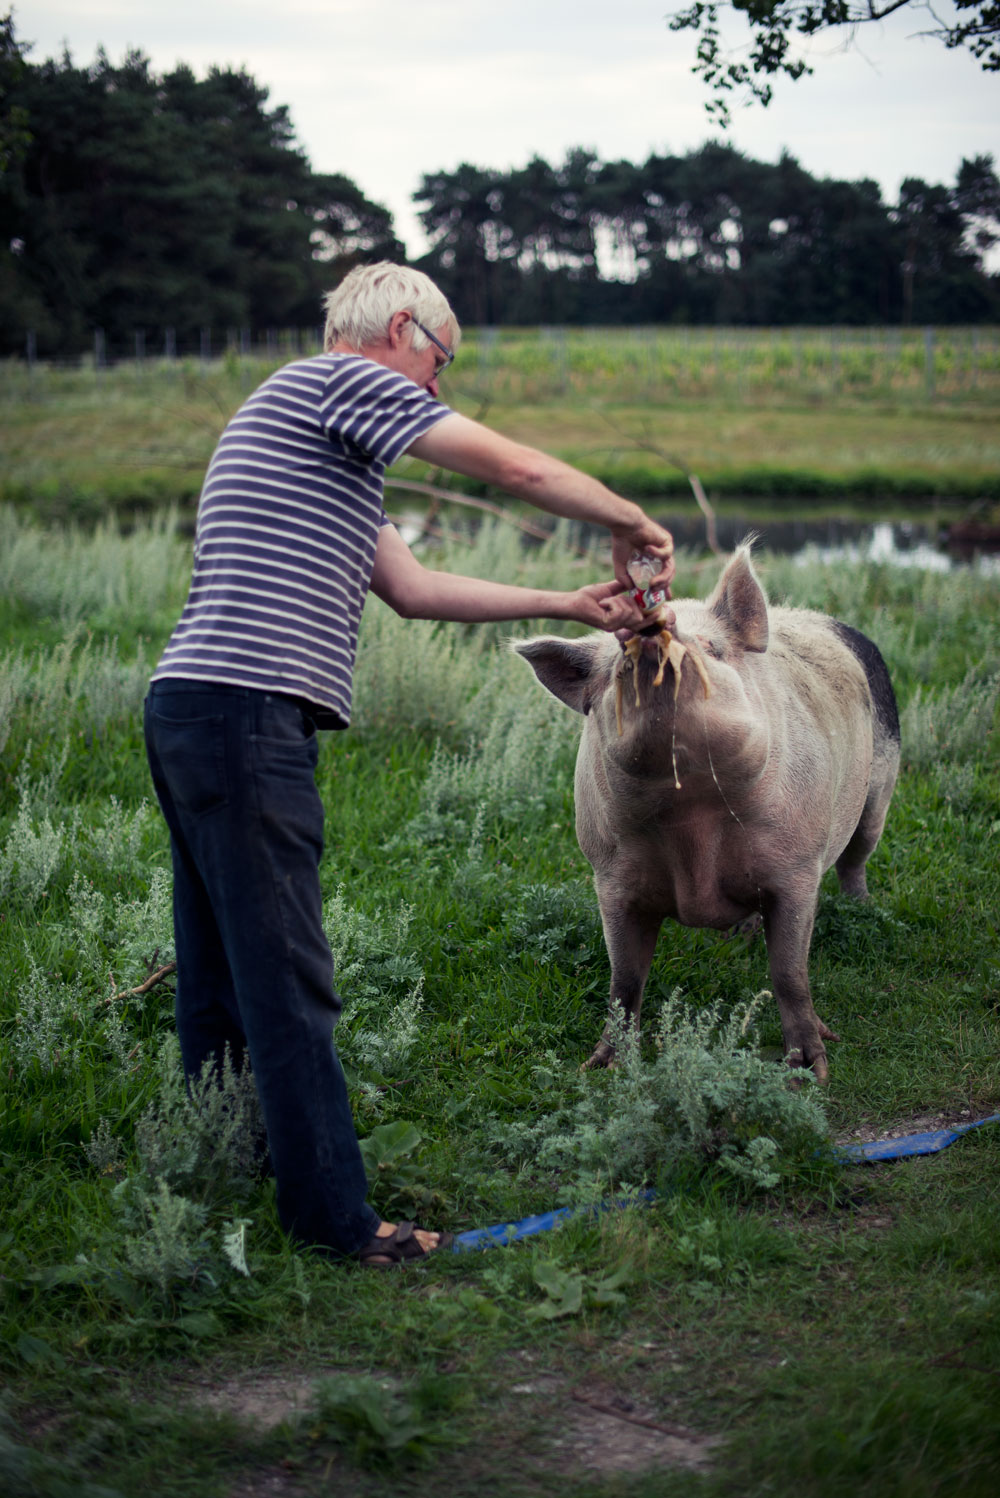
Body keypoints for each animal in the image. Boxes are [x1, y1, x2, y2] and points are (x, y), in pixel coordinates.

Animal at [514, 545, 898, 1084]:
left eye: (714, 648)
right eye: (615, 667)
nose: (650, 634)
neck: (690, 813)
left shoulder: (797, 868)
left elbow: (789, 972)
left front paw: (809, 1073)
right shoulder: (609, 876)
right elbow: (623, 979)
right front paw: (601, 1066)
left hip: (880, 788)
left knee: (856, 856)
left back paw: (862, 908)